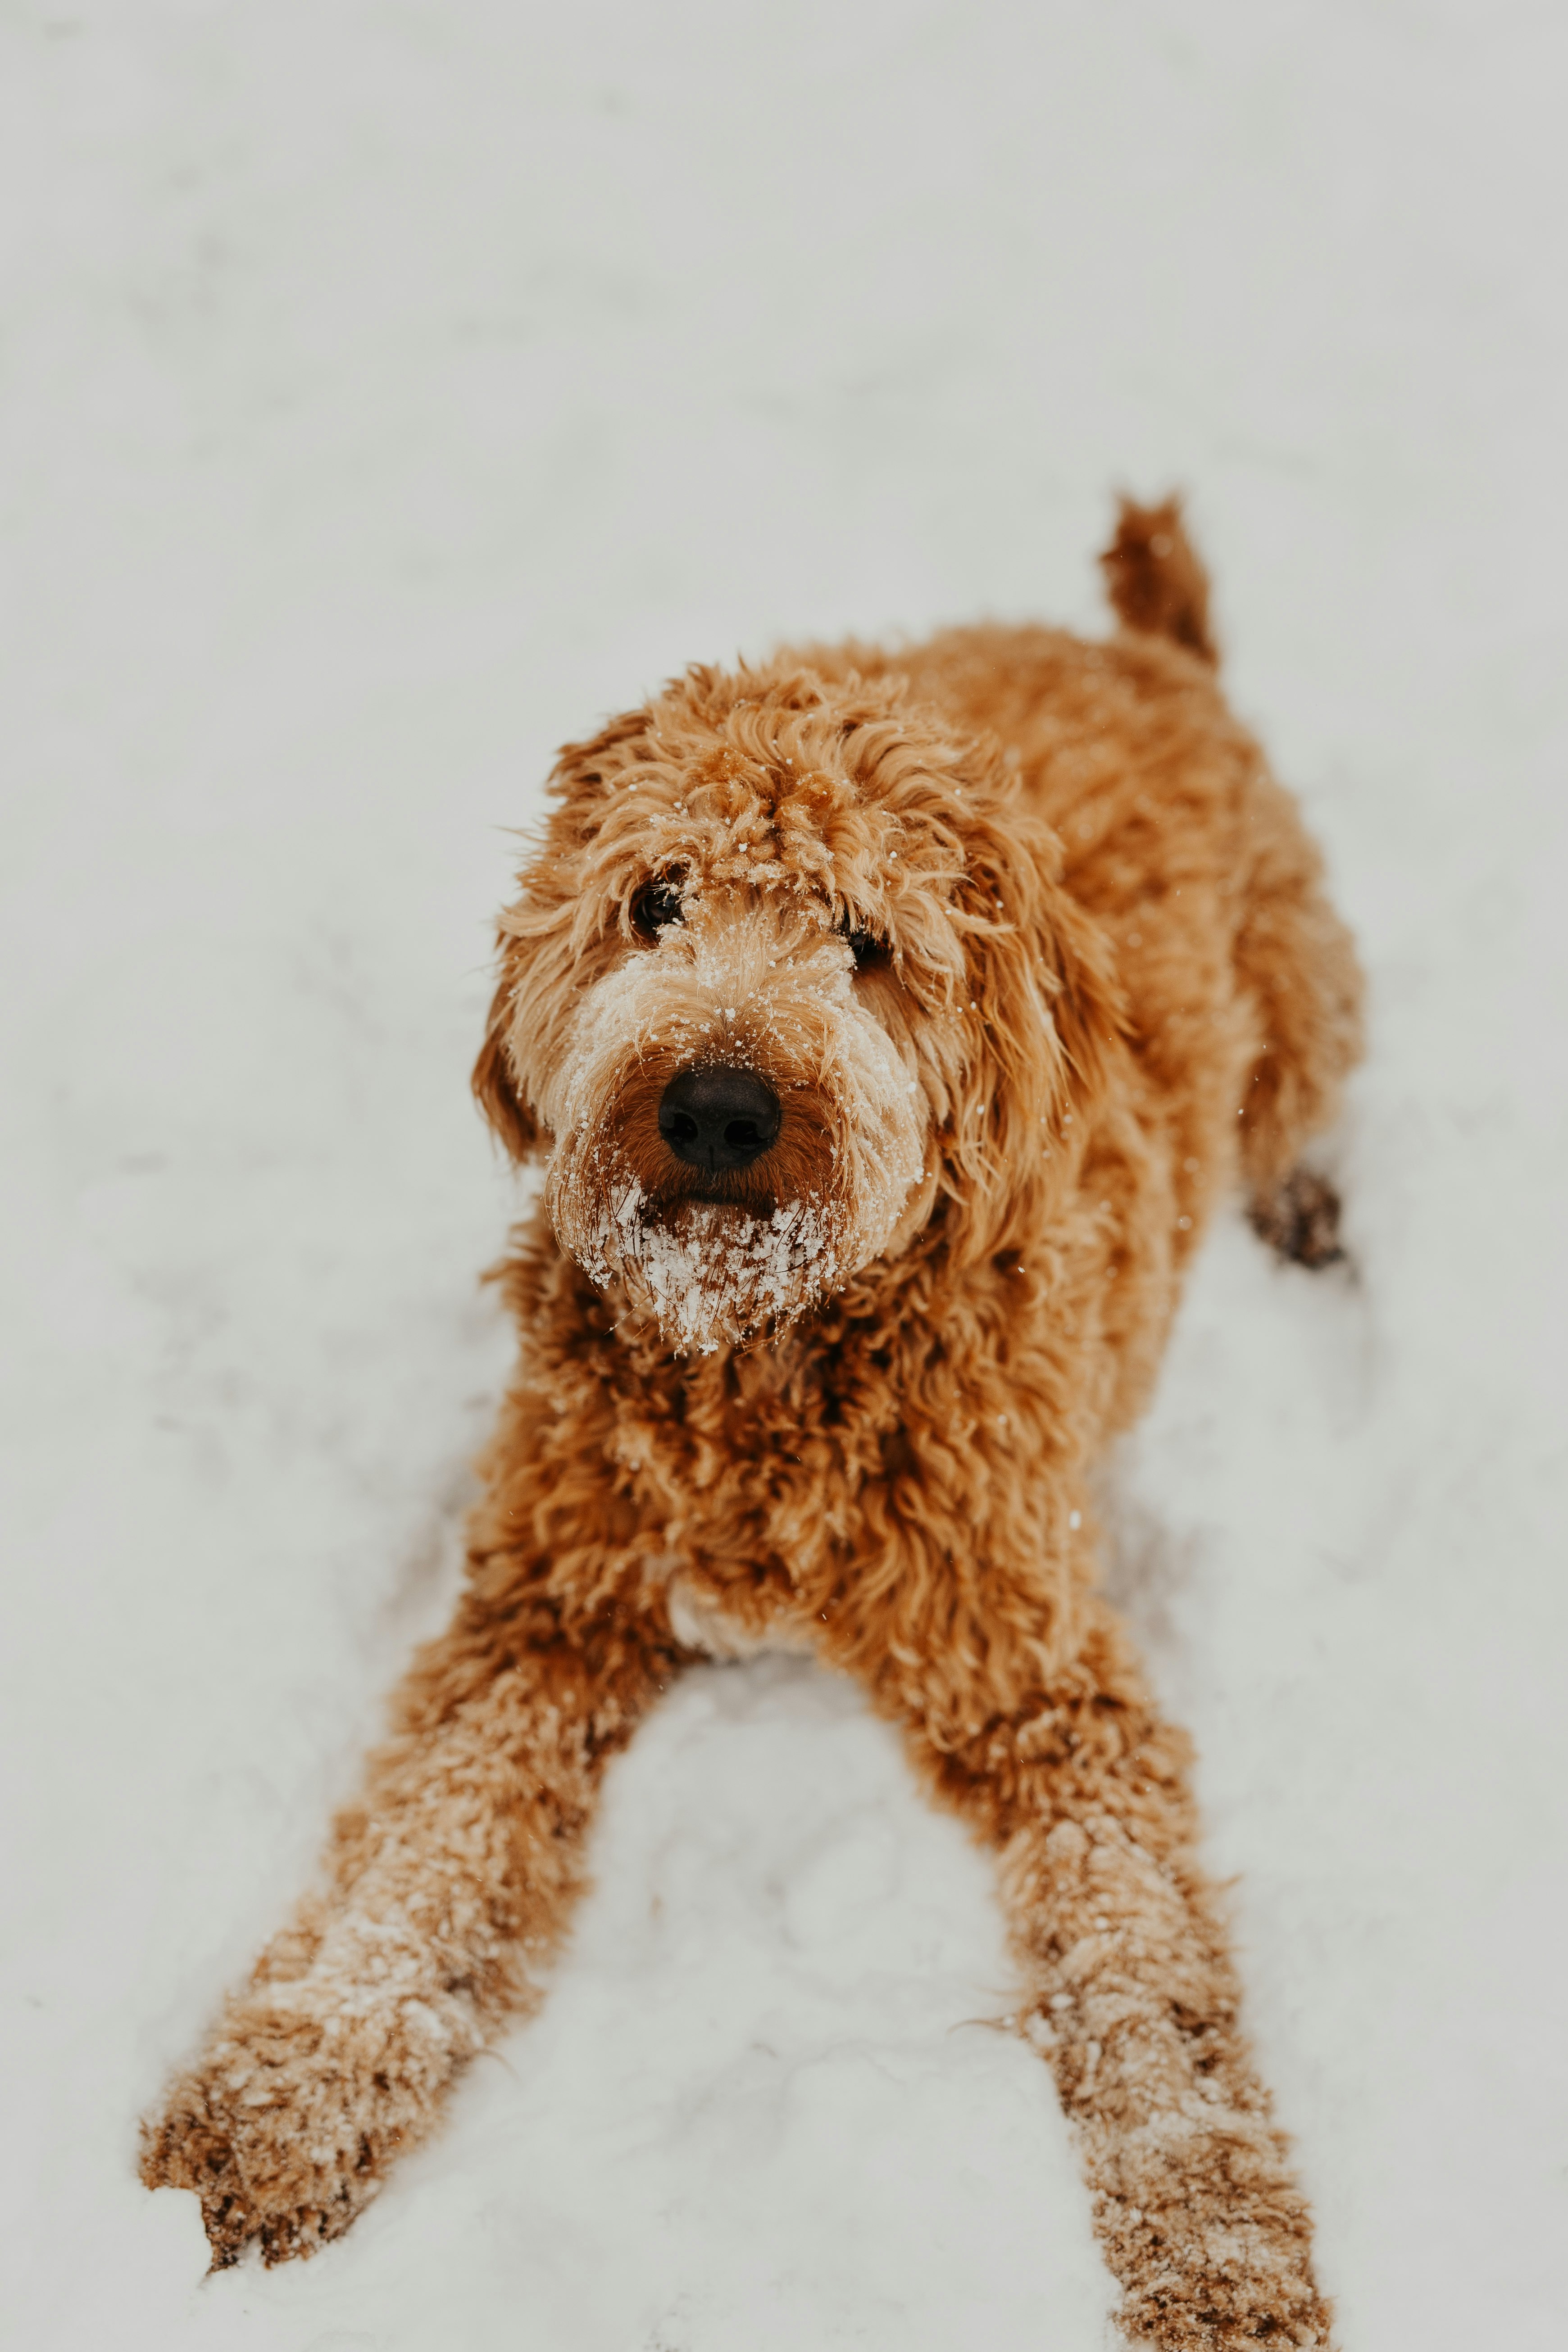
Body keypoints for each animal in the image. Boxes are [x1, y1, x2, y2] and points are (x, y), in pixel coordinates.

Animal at [150, 505, 1373, 2343]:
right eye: (653, 902)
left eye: (862, 939)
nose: (716, 1104)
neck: (758, 1362)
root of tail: (1136, 649)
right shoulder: (544, 1607)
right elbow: (422, 1850)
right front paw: (290, 2091)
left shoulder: (1044, 1687)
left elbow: (1148, 1977)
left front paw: (1220, 2244)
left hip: (1298, 987)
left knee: (1306, 1097)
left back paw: (1303, 1209)